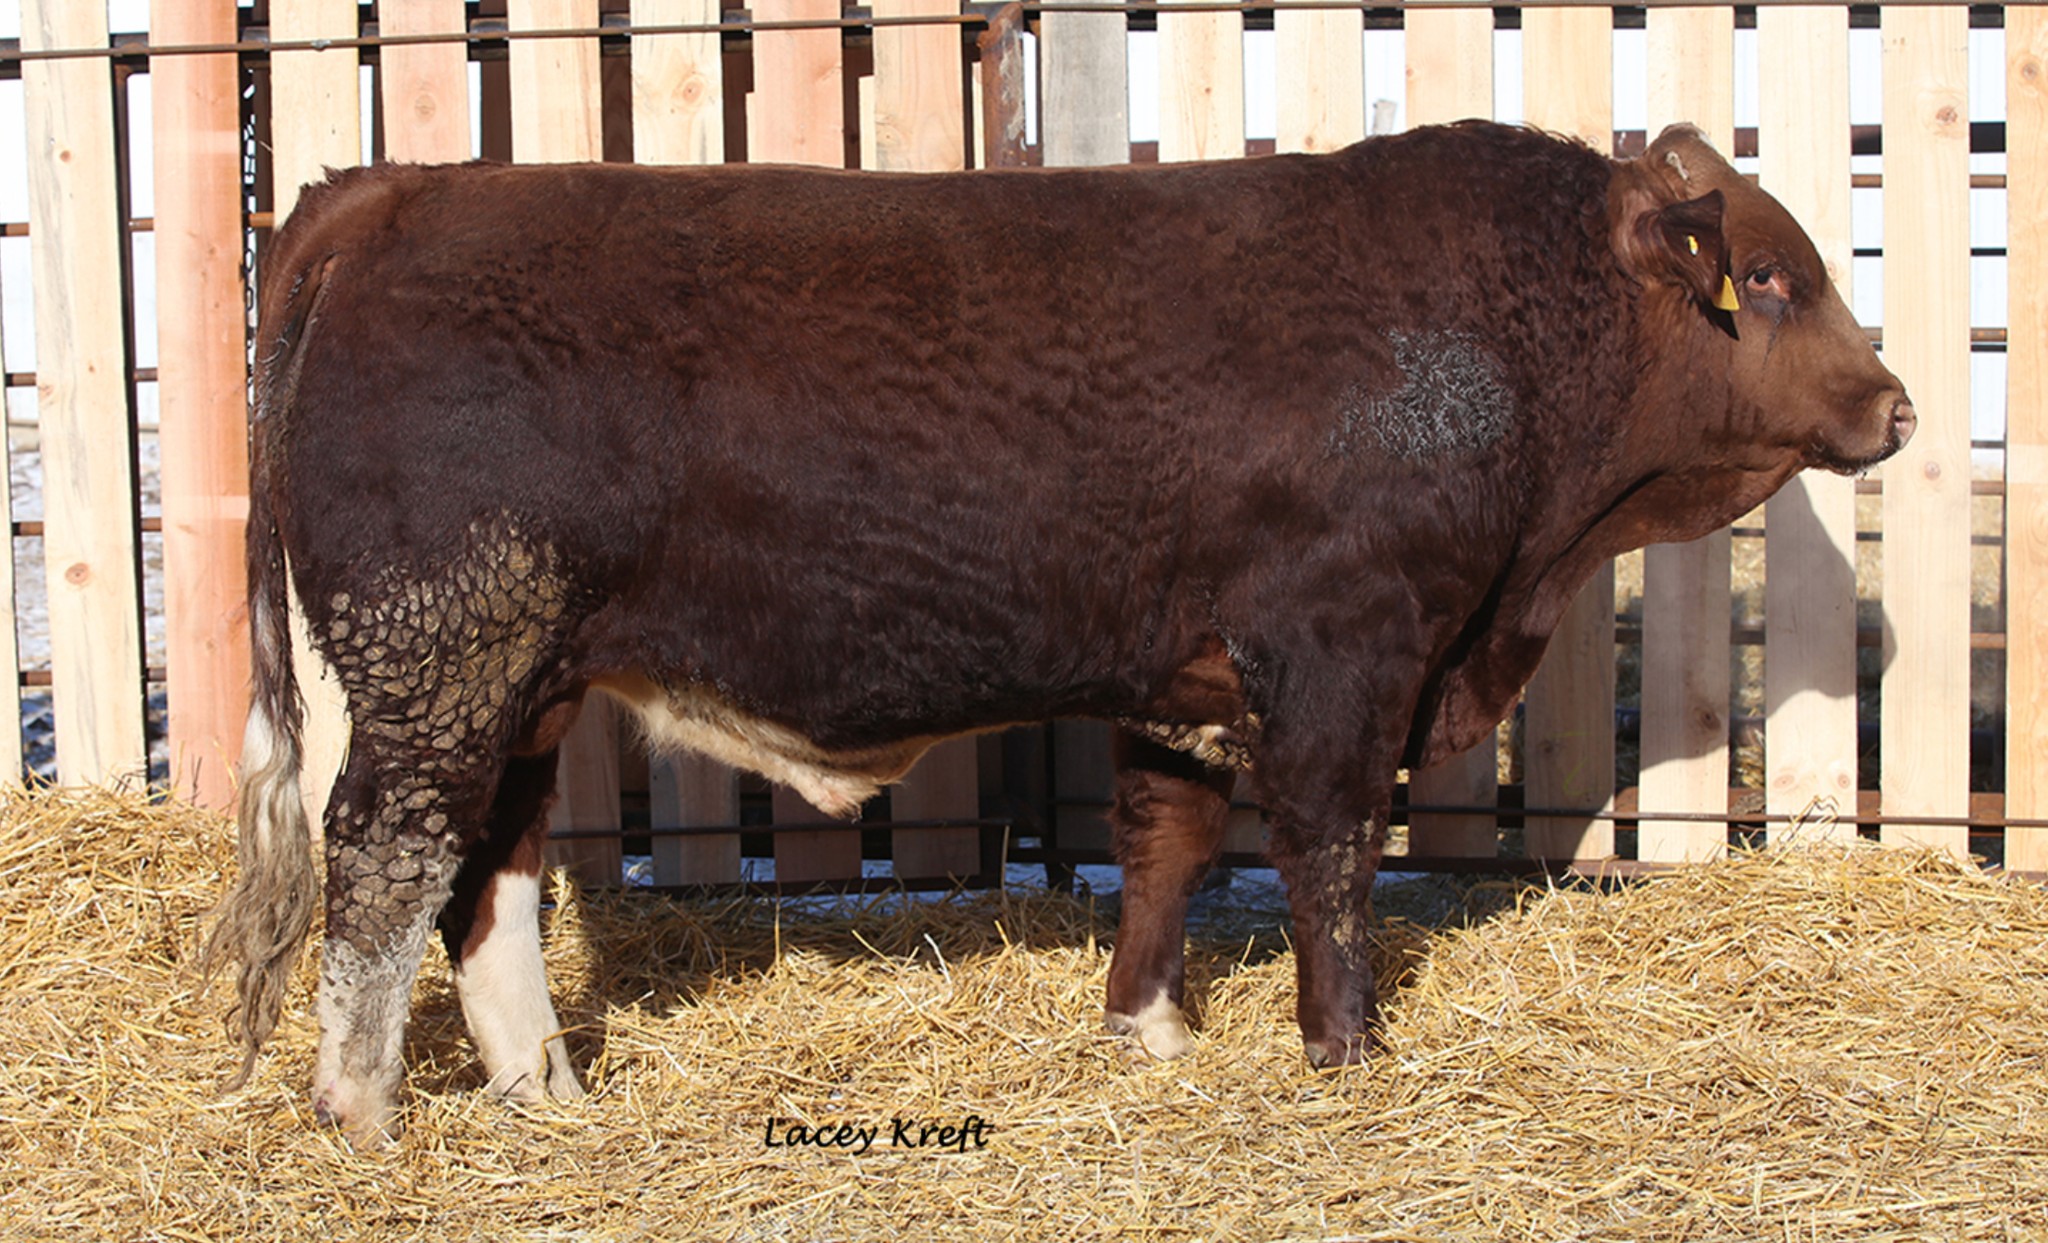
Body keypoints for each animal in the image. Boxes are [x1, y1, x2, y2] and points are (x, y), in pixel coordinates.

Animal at [206, 121, 1913, 1145]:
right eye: (1768, 275)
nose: (1895, 405)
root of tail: (399, 190)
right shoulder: (1344, 649)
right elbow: (1334, 855)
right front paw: (1346, 1051)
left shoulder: (1189, 676)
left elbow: (1166, 842)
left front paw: (1147, 1029)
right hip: (441, 657)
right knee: (387, 862)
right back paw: (364, 1112)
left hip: (527, 678)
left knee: (487, 870)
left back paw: (546, 1090)